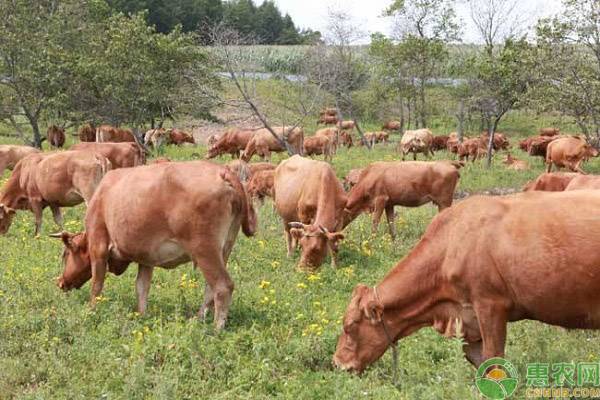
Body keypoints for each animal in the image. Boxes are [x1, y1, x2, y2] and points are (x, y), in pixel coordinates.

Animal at [51, 161, 255, 330]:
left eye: (65, 254)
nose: (60, 282)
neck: (103, 194)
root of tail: (222, 171)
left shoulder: (98, 247)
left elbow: (97, 285)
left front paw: (92, 311)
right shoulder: (146, 259)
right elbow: (142, 287)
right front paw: (142, 315)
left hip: (205, 250)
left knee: (222, 286)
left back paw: (215, 329)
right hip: (224, 249)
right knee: (210, 288)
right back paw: (199, 319)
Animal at [332, 191, 600, 372]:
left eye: (350, 326)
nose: (337, 363)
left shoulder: (490, 305)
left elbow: (493, 361)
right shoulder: (468, 320)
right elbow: (478, 361)